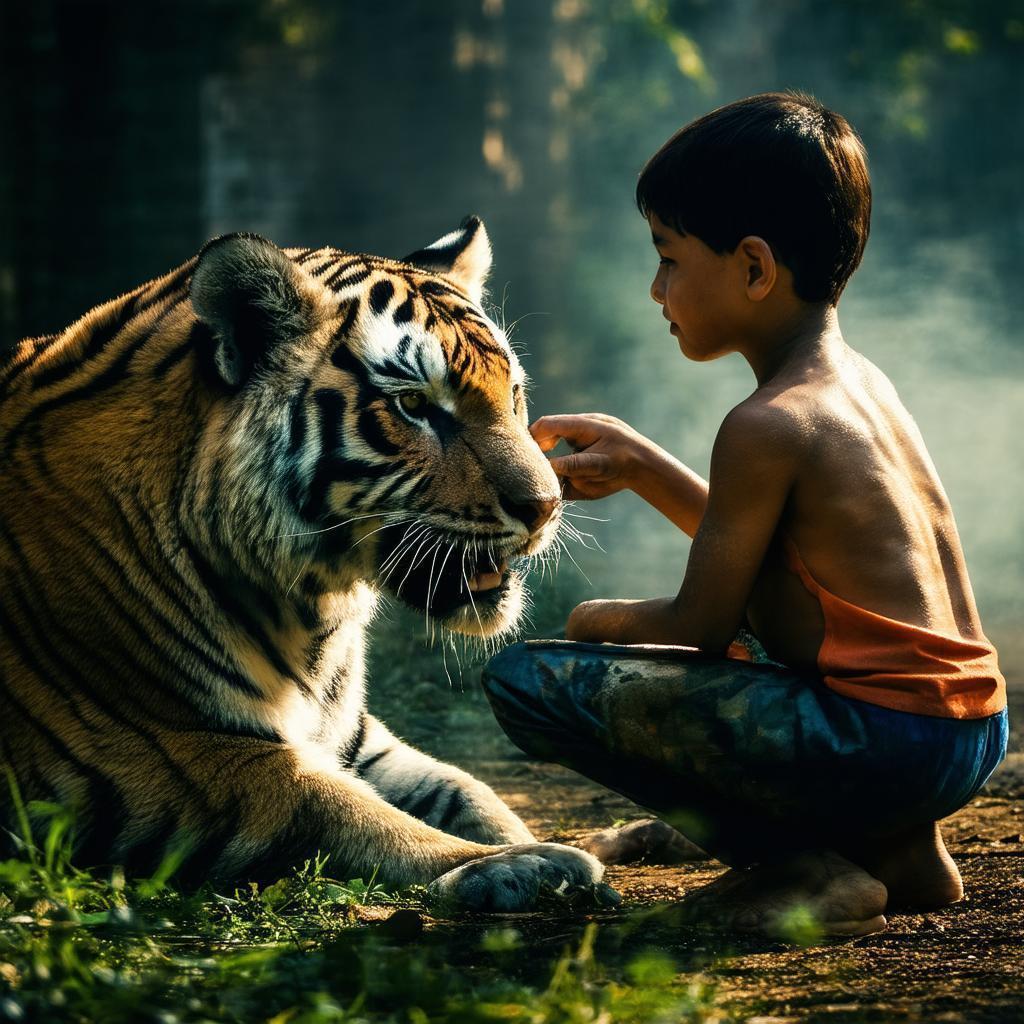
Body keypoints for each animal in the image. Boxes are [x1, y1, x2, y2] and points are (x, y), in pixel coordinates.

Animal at [0, 217, 604, 910]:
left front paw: (527, 843)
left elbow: (466, 788)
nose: (547, 506)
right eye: (414, 407)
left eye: (515, 394)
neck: (315, 613)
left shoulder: (356, 739)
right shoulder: (172, 753)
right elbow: (347, 812)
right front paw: (516, 865)